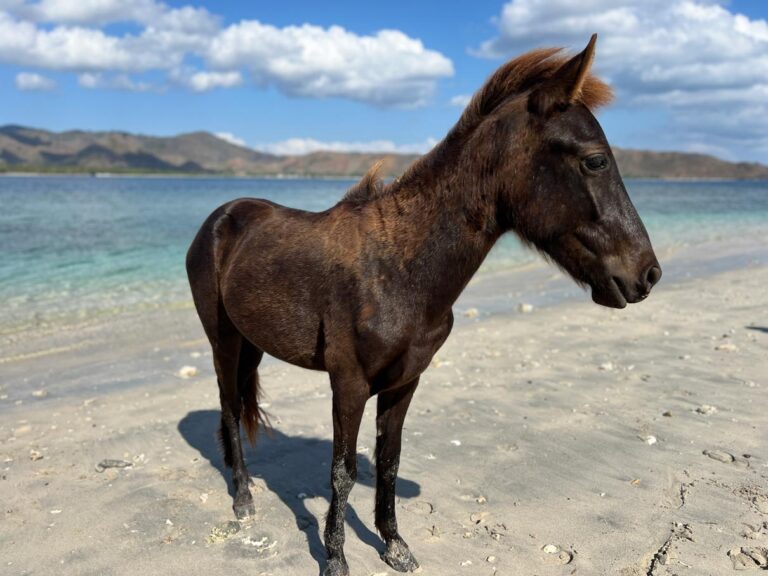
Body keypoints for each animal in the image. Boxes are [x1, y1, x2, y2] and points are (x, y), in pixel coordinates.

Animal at [184, 36, 660, 576]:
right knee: (227, 409)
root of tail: (222, 217)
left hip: (251, 343)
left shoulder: (405, 382)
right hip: (223, 340)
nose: (647, 274)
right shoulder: (348, 382)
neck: (400, 269)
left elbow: (389, 463)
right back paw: (243, 498)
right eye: (596, 160)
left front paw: (394, 544)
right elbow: (343, 471)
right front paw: (335, 558)